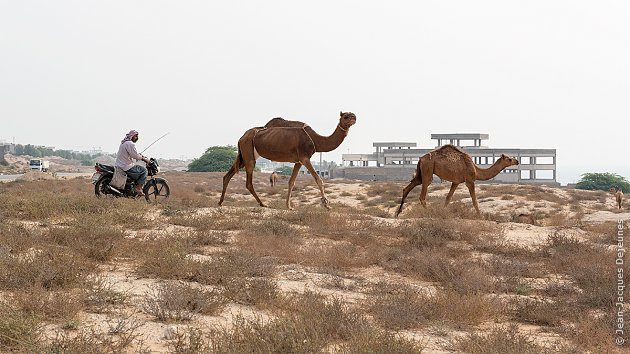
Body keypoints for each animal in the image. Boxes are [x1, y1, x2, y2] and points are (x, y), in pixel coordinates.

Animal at [218, 112, 358, 209]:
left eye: (352, 114)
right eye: (345, 116)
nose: (354, 117)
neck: (315, 139)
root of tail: (241, 137)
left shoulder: (298, 161)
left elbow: (291, 182)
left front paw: (289, 206)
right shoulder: (305, 158)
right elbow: (319, 180)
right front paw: (327, 205)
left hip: (245, 154)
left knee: (228, 175)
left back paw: (220, 202)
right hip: (248, 150)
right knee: (248, 182)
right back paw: (263, 204)